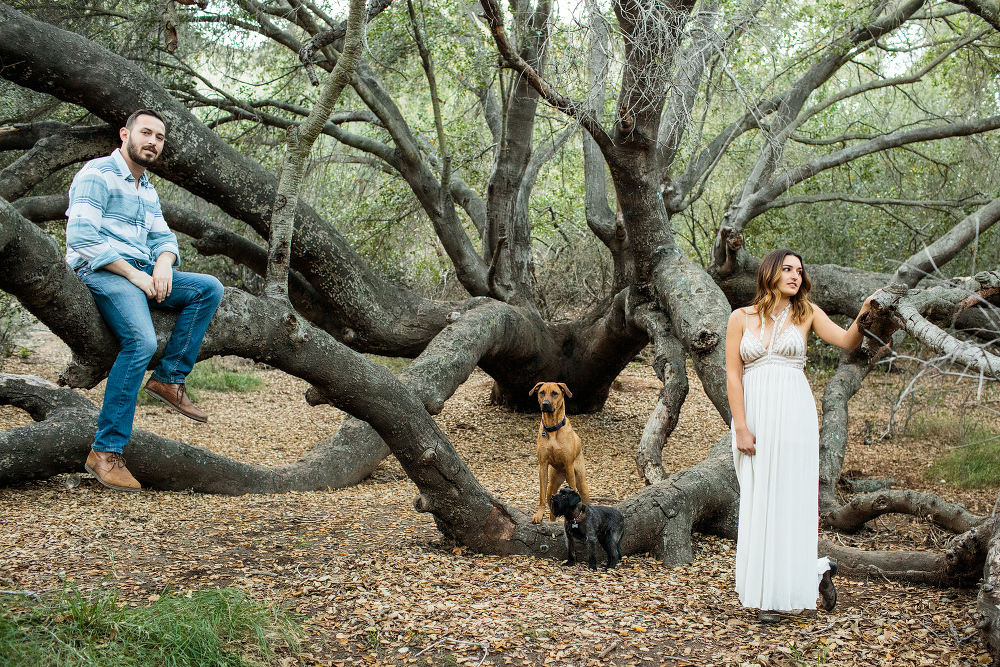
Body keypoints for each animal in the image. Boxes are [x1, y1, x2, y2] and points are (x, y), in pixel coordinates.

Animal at [528, 384, 588, 524]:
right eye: (541, 392)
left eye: (555, 393)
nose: (545, 404)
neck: (552, 428)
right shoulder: (543, 465)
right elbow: (541, 495)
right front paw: (539, 515)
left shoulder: (569, 465)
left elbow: (573, 490)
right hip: (552, 485)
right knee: (551, 506)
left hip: (581, 483)